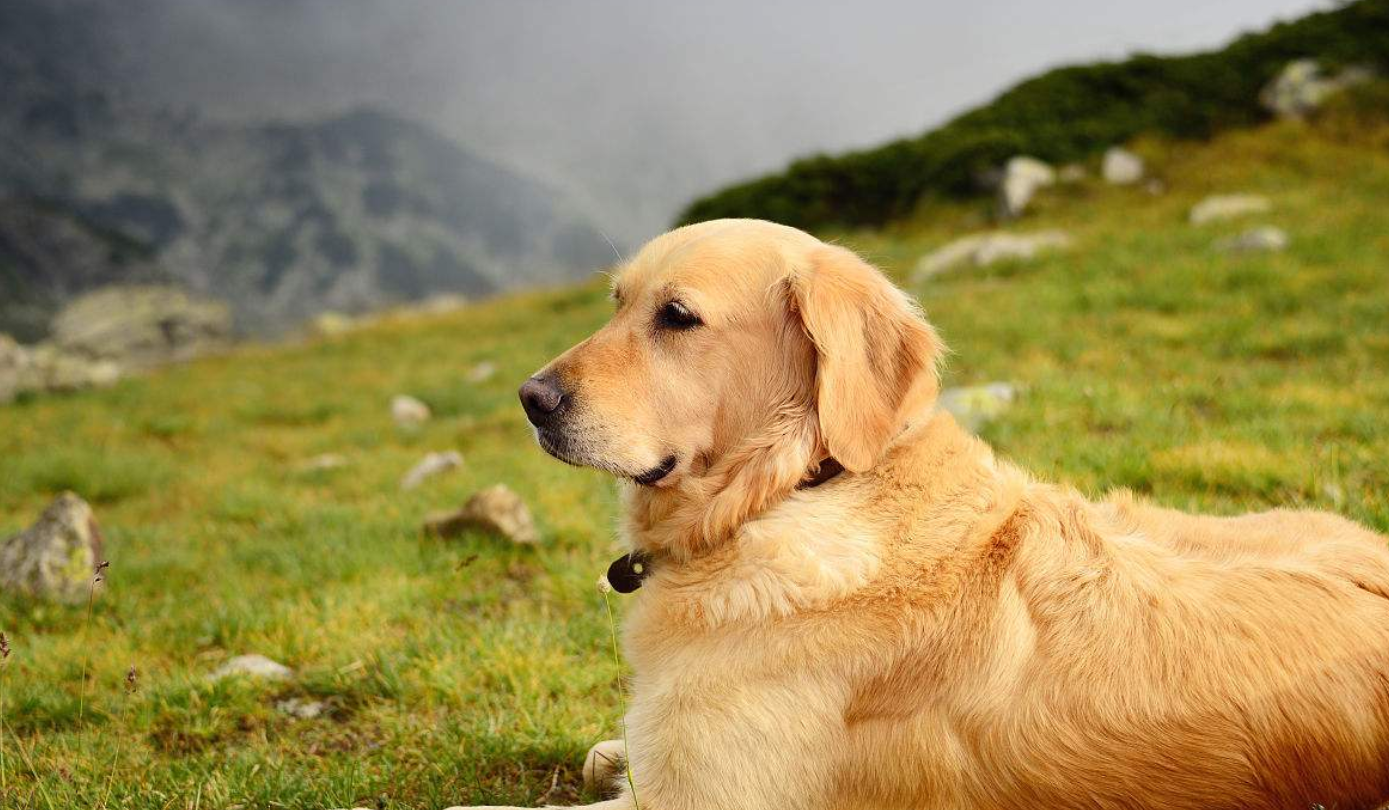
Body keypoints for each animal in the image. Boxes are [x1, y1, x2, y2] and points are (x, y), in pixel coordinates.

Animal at [455, 220, 1389, 810]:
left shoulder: (702, 800)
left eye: (676, 317)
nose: (531, 398)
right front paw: (611, 748)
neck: (793, 489)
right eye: (614, 302)